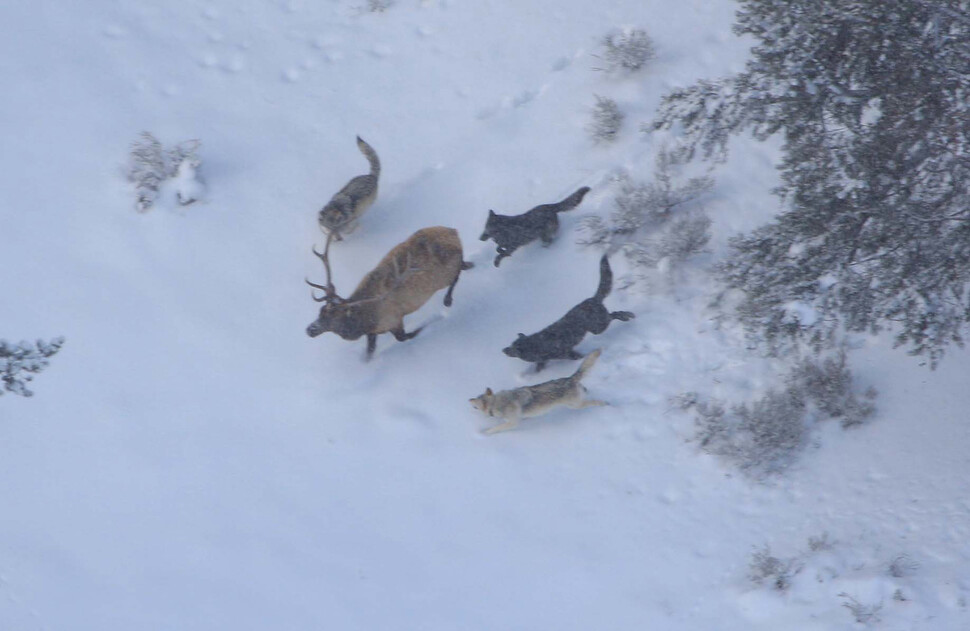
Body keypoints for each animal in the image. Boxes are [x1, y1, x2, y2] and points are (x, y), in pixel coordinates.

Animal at [302, 227, 468, 358]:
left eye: (334, 317)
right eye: (321, 311)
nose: (310, 329)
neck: (364, 320)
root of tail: (454, 231)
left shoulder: (394, 320)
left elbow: (406, 336)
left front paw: (433, 320)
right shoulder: (373, 332)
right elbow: (370, 352)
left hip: (445, 274)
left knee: (456, 274)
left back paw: (448, 300)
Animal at [470, 348, 604, 436]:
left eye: (475, 403)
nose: (469, 400)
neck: (497, 403)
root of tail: (570, 378)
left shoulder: (513, 423)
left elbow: (496, 428)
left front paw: (485, 433)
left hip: (575, 406)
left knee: (594, 402)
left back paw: (605, 403)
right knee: (585, 391)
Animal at [500, 253, 636, 370]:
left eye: (512, 348)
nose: (503, 350)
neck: (535, 345)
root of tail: (592, 299)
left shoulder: (567, 353)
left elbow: (578, 357)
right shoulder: (544, 360)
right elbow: (539, 367)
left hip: (598, 327)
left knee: (614, 314)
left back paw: (627, 316)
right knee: (614, 314)